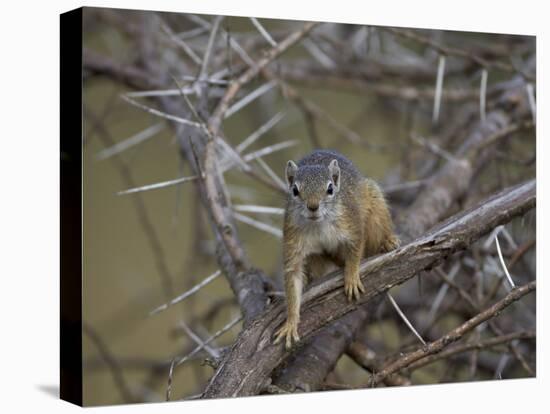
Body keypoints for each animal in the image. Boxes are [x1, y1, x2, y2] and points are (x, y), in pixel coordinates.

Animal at [274, 150, 398, 350]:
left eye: (330, 189)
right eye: (295, 190)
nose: (313, 206)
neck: (318, 224)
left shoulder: (352, 225)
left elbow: (355, 252)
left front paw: (352, 278)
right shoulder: (293, 241)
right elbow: (293, 280)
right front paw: (291, 323)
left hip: (375, 204)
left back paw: (388, 242)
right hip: (317, 258)